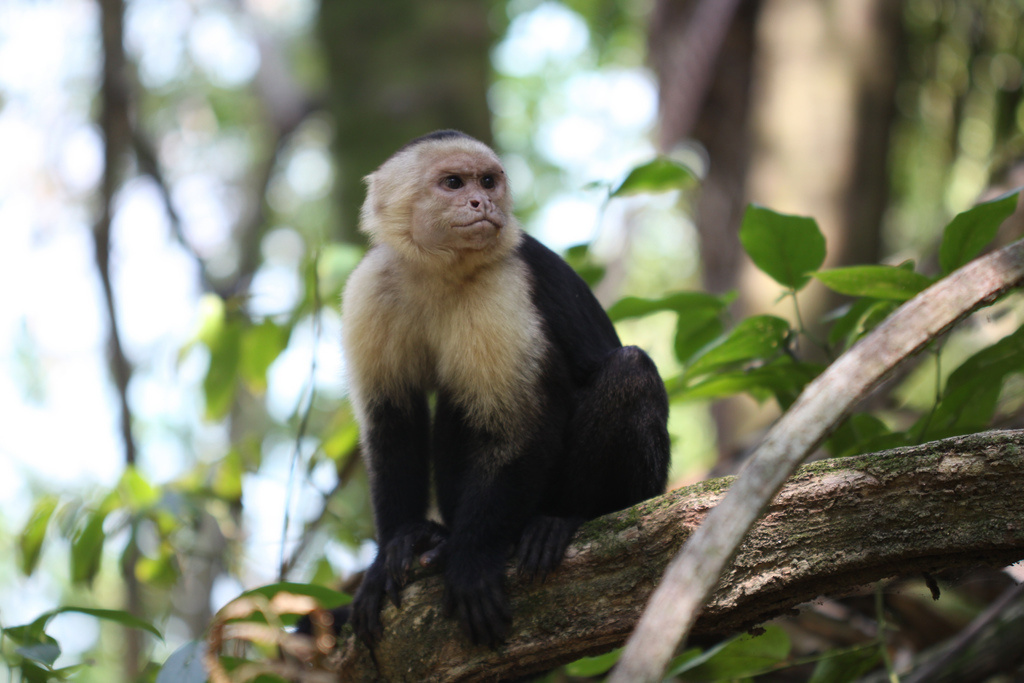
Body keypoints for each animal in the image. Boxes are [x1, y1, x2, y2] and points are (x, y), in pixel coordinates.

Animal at [327, 131, 667, 651]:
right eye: (453, 183)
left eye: (488, 181)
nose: (481, 202)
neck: (441, 271)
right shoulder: (371, 286)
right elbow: (393, 425)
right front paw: (392, 552)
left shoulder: (503, 288)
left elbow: (520, 430)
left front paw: (471, 559)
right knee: (456, 402)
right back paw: (433, 539)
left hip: (646, 491)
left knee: (630, 371)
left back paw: (563, 519)